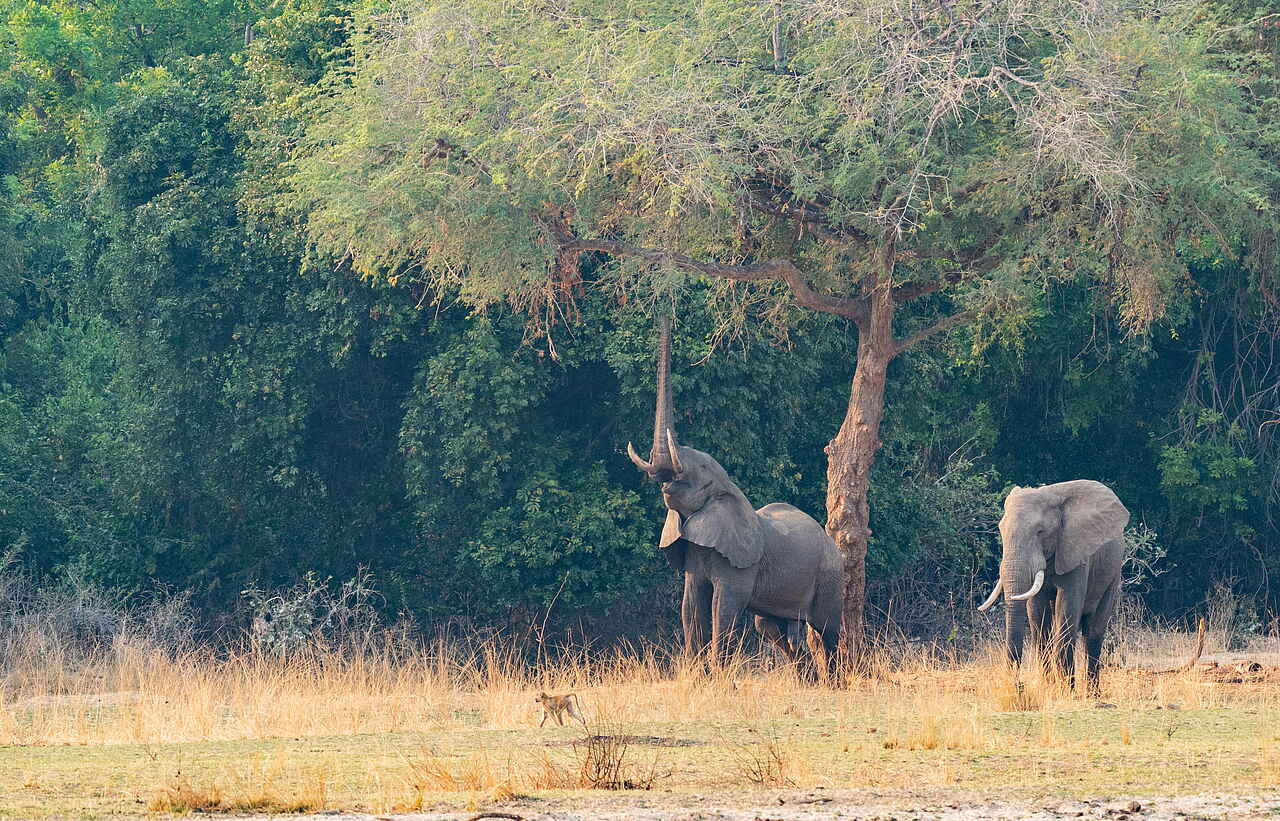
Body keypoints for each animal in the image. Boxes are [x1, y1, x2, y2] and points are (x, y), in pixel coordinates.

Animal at [626, 317, 842, 677]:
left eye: (698, 469)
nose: (666, 314)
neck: (727, 492)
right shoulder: (694, 553)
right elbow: (690, 607)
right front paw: (698, 679)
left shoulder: (739, 563)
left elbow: (722, 608)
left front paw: (719, 681)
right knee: (770, 627)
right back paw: (809, 682)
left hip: (830, 574)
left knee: (829, 631)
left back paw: (838, 681)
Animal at [976, 480, 1129, 695]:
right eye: (1001, 530)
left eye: (1040, 532)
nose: (1019, 687)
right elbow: (1037, 615)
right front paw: (1048, 689)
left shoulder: (1075, 552)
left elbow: (1067, 607)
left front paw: (1066, 693)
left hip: (1114, 573)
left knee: (1094, 631)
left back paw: (1092, 694)